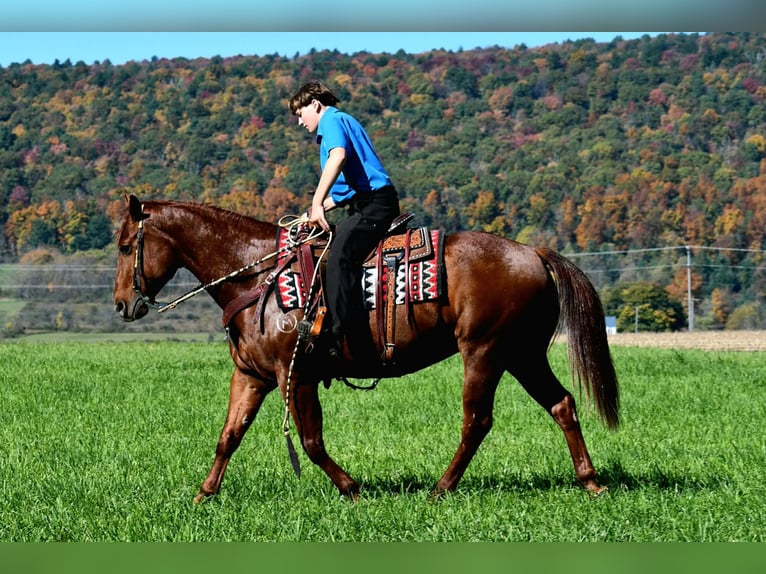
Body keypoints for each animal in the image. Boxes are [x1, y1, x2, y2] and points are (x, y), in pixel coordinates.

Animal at [113, 194, 619, 502]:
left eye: (124, 246)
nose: (121, 304)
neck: (257, 276)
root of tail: (532, 253)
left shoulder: (295, 375)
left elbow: (311, 442)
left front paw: (351, 488)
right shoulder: (252, 375)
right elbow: (229, 436)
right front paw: (203, 494)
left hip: (485, 353)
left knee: (477, 421)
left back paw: (441, 488)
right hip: (523, 355)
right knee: (562, 404)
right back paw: (591, 482)